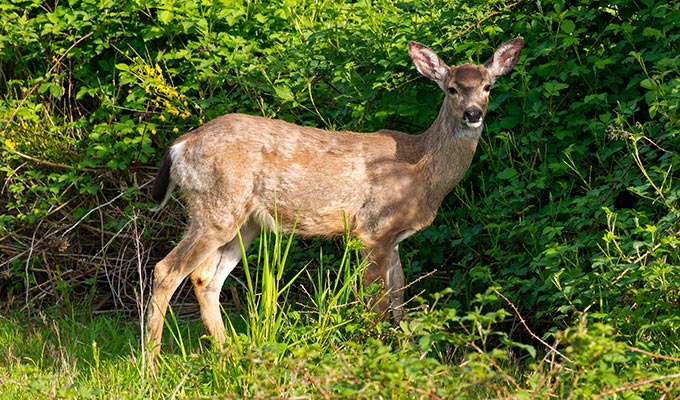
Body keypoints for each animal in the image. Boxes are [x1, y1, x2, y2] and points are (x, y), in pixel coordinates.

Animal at [146, 36, 524, 356]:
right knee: (166, 270)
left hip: (245, 222)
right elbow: (377, 305)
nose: (473, 114)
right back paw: (152, 364)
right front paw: (377, 354)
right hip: (215, 208)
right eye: (452, 89)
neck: (422, 170)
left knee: (205, 278)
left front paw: (405, 354)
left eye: (488, 86)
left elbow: (400, 301)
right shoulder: (371, 230)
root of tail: (180, 146)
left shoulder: (395, 237)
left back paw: (228, 354)